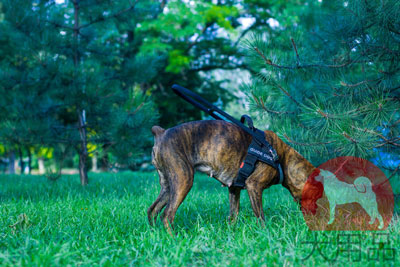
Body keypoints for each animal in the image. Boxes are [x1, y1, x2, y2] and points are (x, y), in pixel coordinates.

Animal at [147, 120, 318, 231]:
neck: (281, 158)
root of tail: (162, 133)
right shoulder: (254, 185)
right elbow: (260, 215)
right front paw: (266, 234)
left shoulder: (234, 189)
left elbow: (233, 214)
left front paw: (231, 233)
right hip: (183, 180)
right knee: (167, 215)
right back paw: (174, 237)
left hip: (168, 184)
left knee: (153, 210)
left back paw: (155, 234)